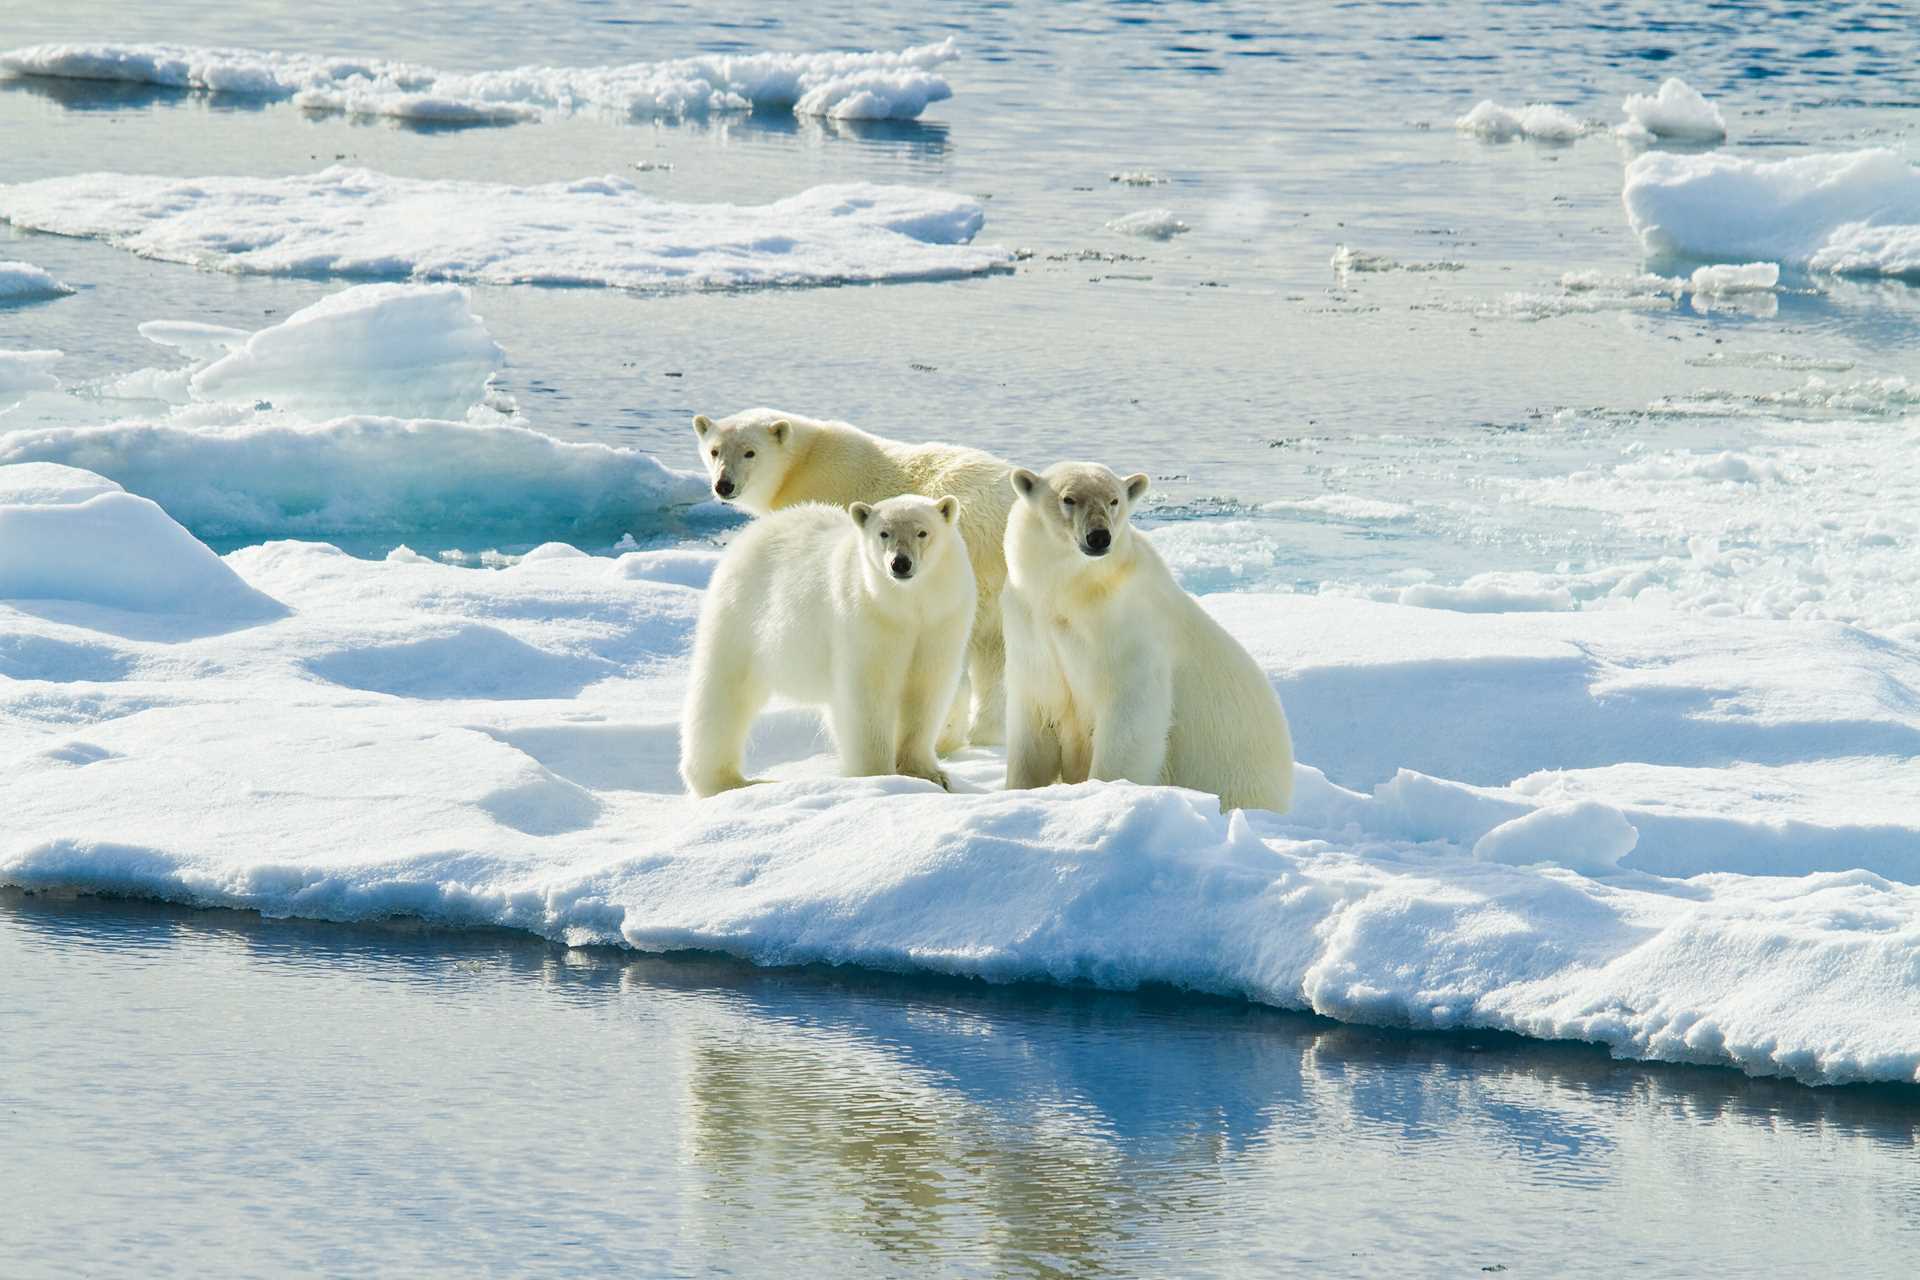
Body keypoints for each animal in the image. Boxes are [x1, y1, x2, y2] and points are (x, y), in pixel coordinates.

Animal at [679, 495, 975, 794]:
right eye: (884, 533)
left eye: (922, 532)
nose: (900, 563)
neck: (906, 604)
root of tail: (753, 532)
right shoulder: (867, 618)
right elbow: (870, 692)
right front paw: (879, 776)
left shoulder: (941, 619)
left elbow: (926, 688)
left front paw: (930, 775)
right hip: (740, 616)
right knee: (722, 694)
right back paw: (728, 781)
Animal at [998, 460, 1297, 809]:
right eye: (1069, 499)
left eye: (1114, 500)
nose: (1099, 536)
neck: (1073, 592)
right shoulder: (1030, 627)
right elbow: (1035, 719)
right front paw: (1019, 791)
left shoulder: (1126, 630)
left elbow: (1130, 721)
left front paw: (1105, 790)